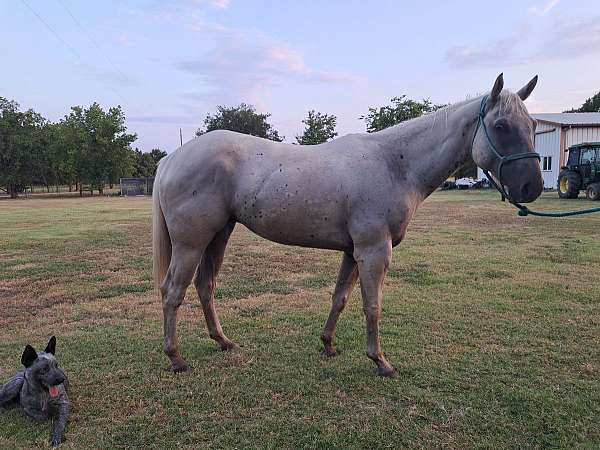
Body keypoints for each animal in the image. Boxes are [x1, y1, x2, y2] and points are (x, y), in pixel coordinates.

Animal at [151, 74, 544, 376]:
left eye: (533, 125)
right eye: (501, 126)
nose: (532, 187)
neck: (395, 163)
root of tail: (172, 158)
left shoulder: (353, 252)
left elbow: (340, 297)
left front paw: (328, 345)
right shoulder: (374, 251)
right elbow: (372, 305)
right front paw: (381, 362)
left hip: (218, 236)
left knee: (205, 286)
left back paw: (223, 341)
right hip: (191, 243)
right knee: (173, 292)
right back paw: (176, 359)